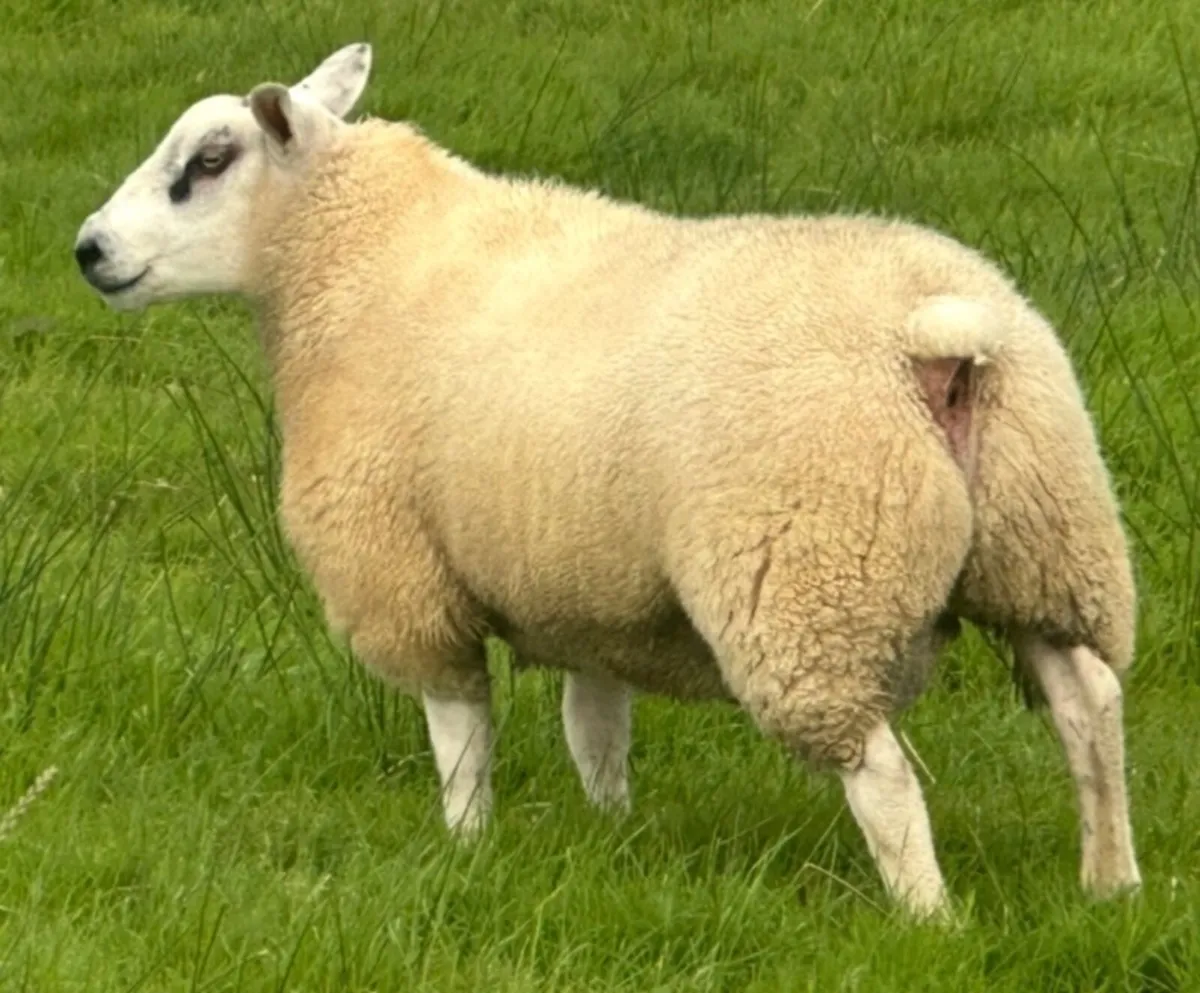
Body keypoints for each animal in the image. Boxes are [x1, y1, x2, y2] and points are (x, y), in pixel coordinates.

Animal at [73, 42, 1142, 919]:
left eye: (208, 163)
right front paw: (610, 838)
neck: (355, 257)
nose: (89, 251)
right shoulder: (585, 587)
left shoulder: (405, 577)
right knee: (1089, 703)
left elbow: (461, 736)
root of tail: (935, 336)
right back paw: (1111, 884)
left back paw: (929, 918)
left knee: (882, 774)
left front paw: (467, 849)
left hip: (809, 585)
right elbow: (595, 731)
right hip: (1047, 547)